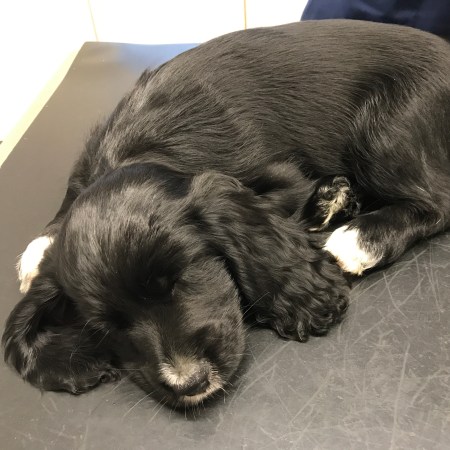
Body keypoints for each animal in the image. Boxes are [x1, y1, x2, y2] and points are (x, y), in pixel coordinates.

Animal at [3, 20, 450, 408]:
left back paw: (357, 236)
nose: (190, 383)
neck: (139, 148)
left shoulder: (282, 178)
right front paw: (38, 251)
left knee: (437, 200)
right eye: (105, 328)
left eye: (180, 279)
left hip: (382, 127)